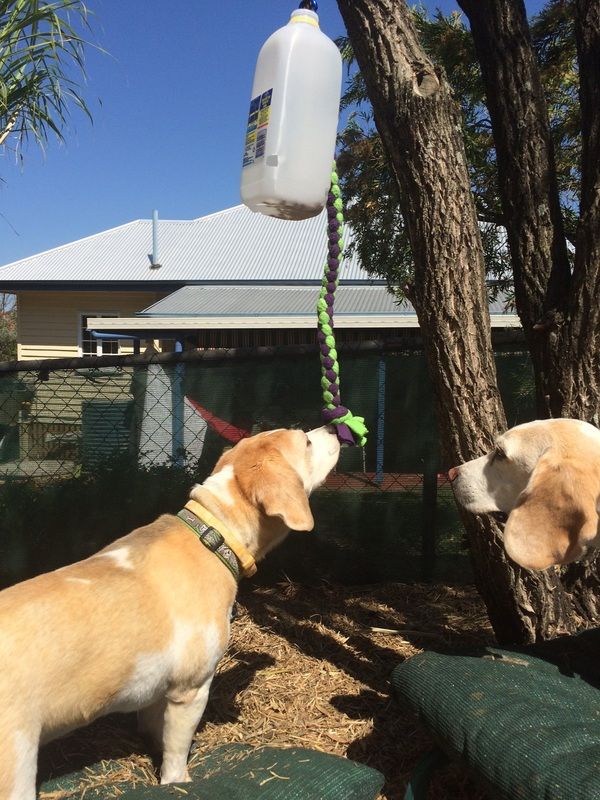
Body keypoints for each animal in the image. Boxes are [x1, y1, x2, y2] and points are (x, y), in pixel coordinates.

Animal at [0, 428, 340, 796]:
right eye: (306, 442)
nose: (332, 429)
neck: (213, 536)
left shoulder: (154, 690)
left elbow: (155, 730)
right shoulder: (190, 690)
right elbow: (177, 750)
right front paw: (177, 782)